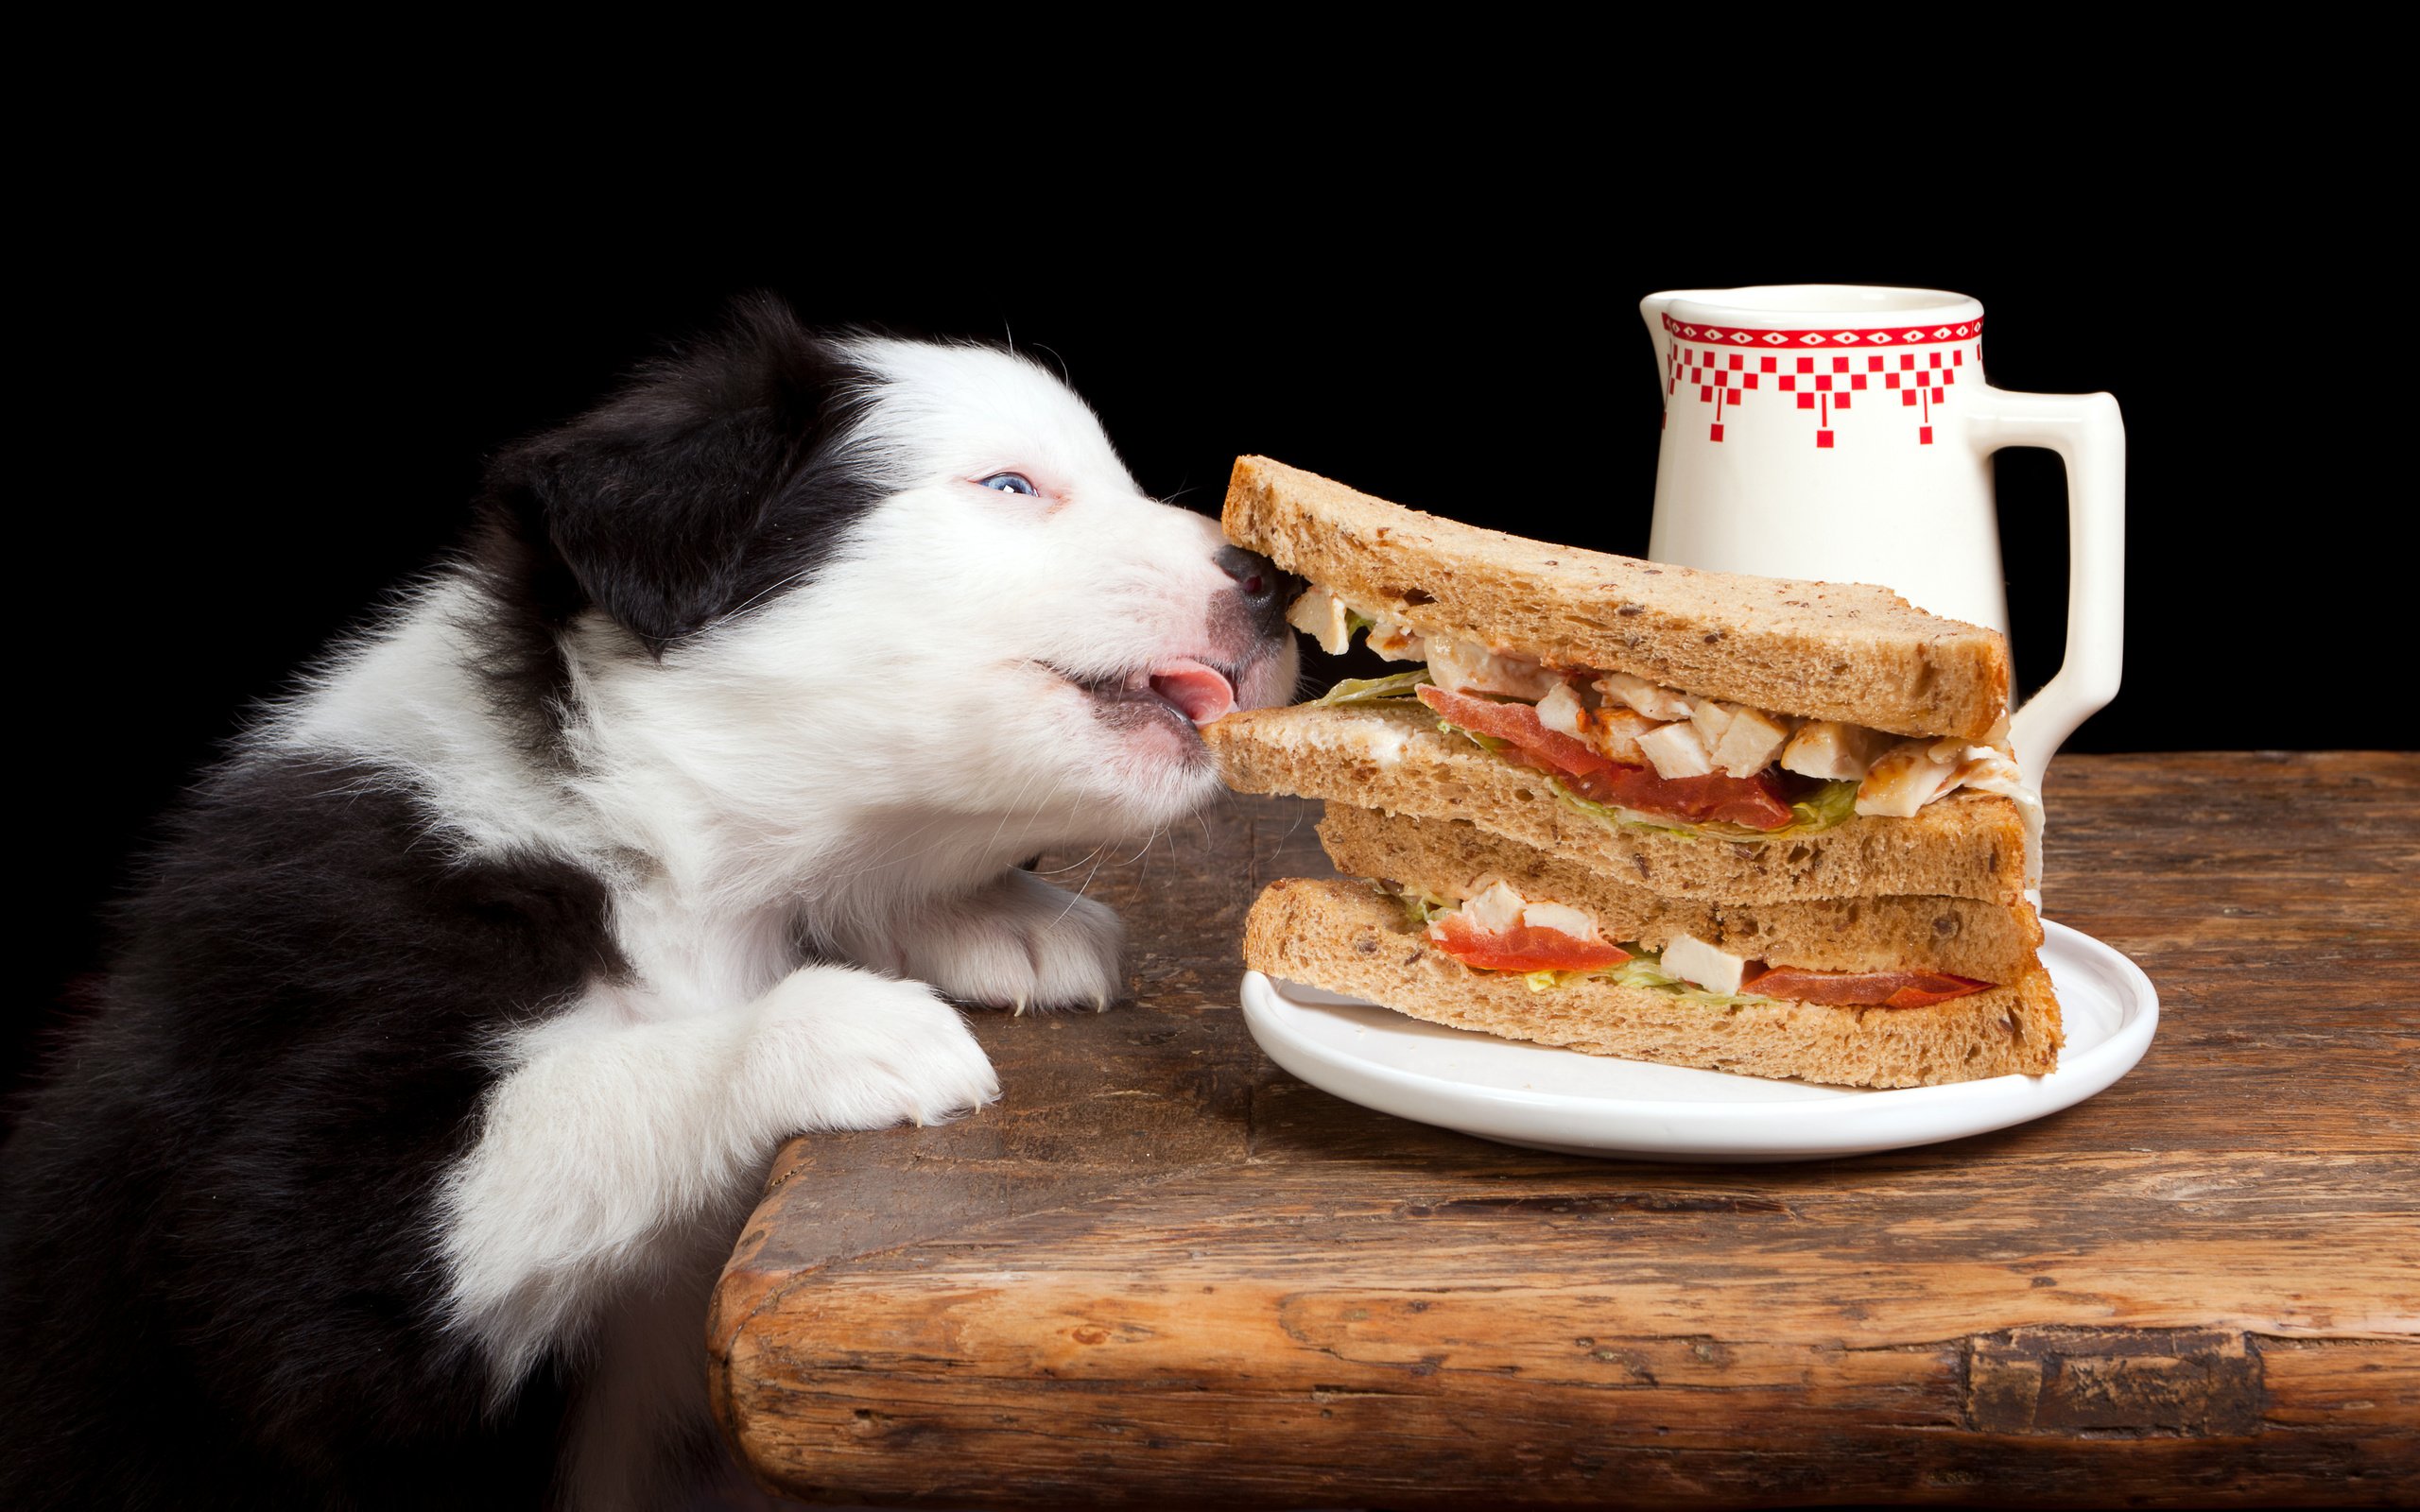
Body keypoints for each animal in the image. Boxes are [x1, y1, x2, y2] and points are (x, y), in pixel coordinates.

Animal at [0, 297, 1306, 1509]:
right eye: (1009, 484)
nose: (1273, 577)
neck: (660, 846)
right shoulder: (278, 1183)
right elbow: (572, 1101)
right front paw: (831, 1025)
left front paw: (995, 916)